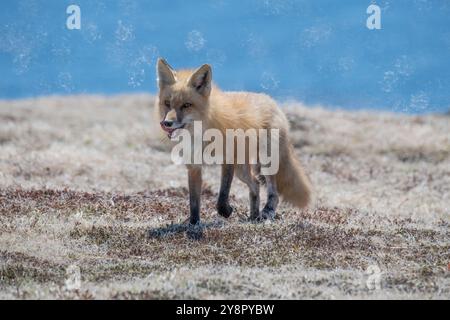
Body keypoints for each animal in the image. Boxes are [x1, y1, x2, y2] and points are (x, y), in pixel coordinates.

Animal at [156, 58, 312, 226]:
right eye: (167, 103)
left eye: (186, 105)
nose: (166, 123)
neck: (202, 135)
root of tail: (270, 100)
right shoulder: (194, 166)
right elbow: (194, 201)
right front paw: (193, 224)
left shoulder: (228, 159)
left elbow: (223, 195)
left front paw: (225, 211)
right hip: (242, 170)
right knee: (256, 184)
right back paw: (253, 216)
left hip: (263, 161)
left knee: (273, 192)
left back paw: (267, 212)